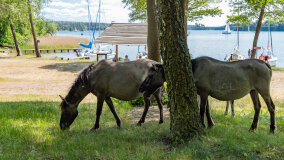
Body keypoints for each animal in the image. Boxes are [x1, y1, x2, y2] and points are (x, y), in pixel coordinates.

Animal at [139, 57, 276, 133]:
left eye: (150, 76)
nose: (141, 88)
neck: (193, 70)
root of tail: (267, 65)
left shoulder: (204, 91)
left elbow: (202, 110)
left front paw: (203, 124)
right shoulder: (205, 92)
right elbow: (207, 110)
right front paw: (210, 124)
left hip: (263, 88)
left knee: (271, 107)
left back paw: (272, 128)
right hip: (253, 90)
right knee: (257, 107)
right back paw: (253, 127)